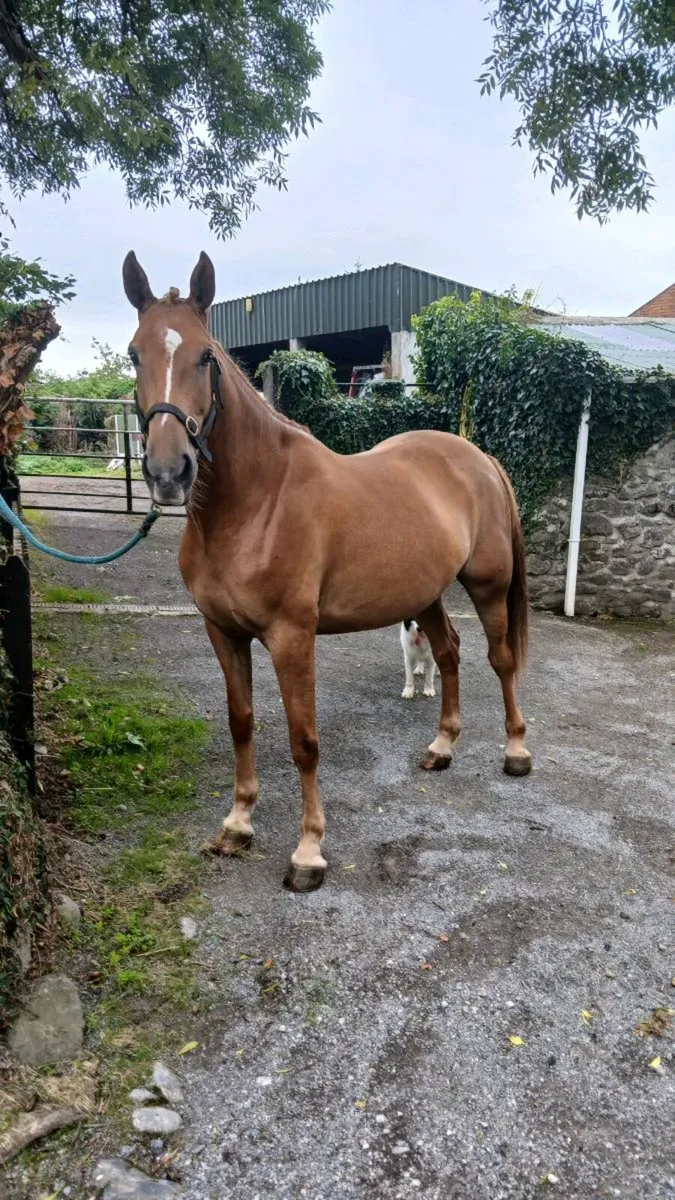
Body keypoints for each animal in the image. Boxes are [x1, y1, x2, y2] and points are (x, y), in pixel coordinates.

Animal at [123, 250, 531, 893]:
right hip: (424, 594)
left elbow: (304, 740)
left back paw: (515, 752)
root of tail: (478, 457)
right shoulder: (223, 632)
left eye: (206, 355)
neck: (256, 502)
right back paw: (442, 747)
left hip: (487, 586)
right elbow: (242, 722)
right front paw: (237, 825)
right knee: (447, 653)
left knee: (501, 659)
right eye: (134, 353)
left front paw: (309, 851)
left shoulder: (293, 637)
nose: (169, 472)